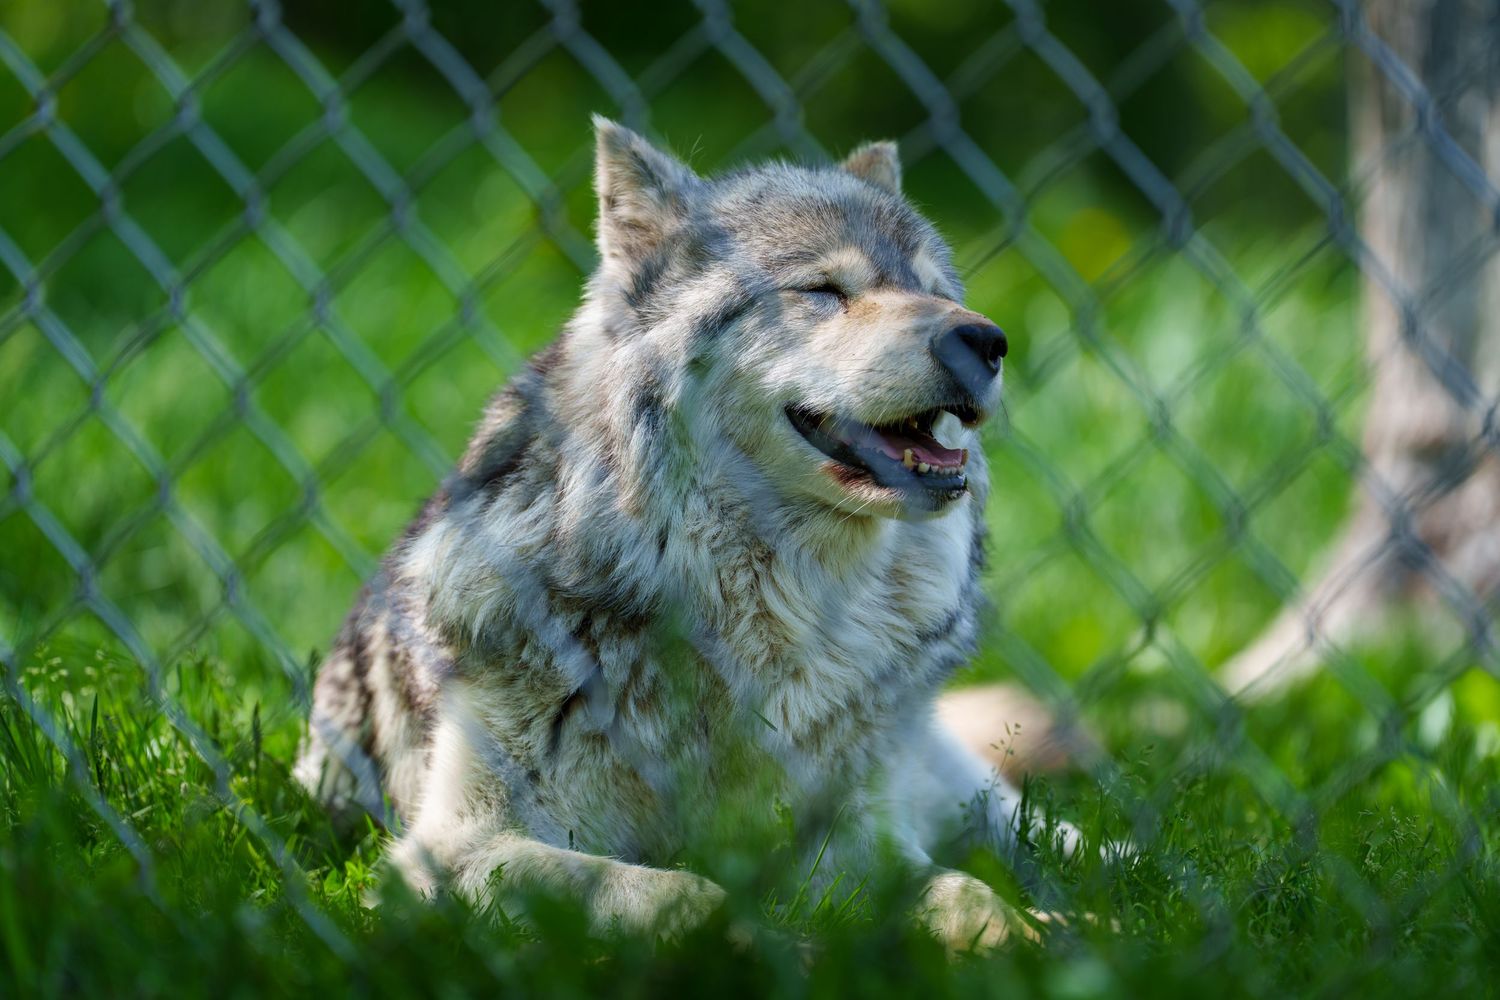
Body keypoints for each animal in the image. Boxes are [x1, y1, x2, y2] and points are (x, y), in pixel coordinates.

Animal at [295, 117, 1079, 948]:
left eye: (936, 292)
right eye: (824, 292)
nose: (987, 341)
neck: (766, 616)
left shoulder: (859, 841)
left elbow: (960, 891)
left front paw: (1033, 936)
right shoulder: (449, 851)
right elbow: (683, 893)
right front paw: (777, 946)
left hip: (979, 800)